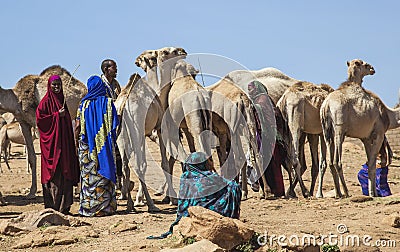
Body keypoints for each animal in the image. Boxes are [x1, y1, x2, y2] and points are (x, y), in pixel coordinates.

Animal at [0, 65, 86, 199]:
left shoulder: (39, 122)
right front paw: (31, 192)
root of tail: (84, 89)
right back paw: (77, 189)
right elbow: (32, 157)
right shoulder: (23, 122)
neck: (15, 98)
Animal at [114, 73, 169, 213]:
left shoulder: (143, 134)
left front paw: (139, 199)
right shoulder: (159, 127)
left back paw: (130, 205)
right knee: (138, 166)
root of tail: (123, 105)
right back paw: (151, 205)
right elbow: (163, 163)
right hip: (136, 126)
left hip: (121, 135)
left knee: (125, 167)